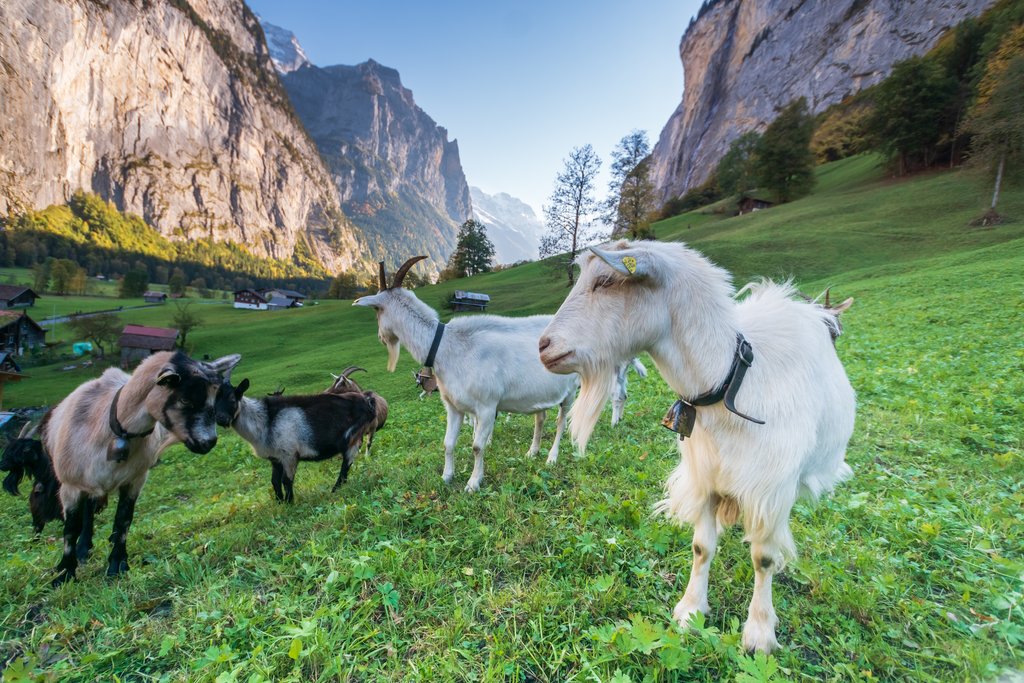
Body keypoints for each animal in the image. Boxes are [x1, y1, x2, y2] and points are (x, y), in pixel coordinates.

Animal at [40, 351, 241, 586]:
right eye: (184, 399)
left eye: (212, 399)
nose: (208, 442)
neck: (114, 431)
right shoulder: (70, 485)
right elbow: (71, 528)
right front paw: (64, 573)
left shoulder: (135, 479)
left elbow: (123, 520)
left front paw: (117, 565)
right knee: (87, 512)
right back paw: (83, 548)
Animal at [215, 378, 378, 501]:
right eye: (213, 402)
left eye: (232, 399)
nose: (220, 419)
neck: (267, 420)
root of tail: (368, 401)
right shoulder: (275, 458)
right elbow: (274, 481)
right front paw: (279, 502)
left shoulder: (289, 454)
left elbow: (286, 480)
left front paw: (289, 503)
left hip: (352, 438)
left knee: (345, 465)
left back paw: (334, 490)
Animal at [353, 256, 579, 492]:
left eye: (377, 309)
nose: (380, 337)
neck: (449, 347)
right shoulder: (453, 407)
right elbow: (448, 443)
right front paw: (446, 477)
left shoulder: (487, 407)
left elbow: (477, 446)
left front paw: (473, 483)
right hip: (540, 394)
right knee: (540, 418)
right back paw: (532, 452)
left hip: (571, 389)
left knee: (561, 422)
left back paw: (552, 458)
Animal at [538, 240, 855, 653]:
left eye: (605, 281)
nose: (543, 347)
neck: (731, 384)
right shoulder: (704, 479)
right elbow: (702, 547)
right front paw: (690, 610)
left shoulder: (771, 490)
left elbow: (764, 558)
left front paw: (759, 632)